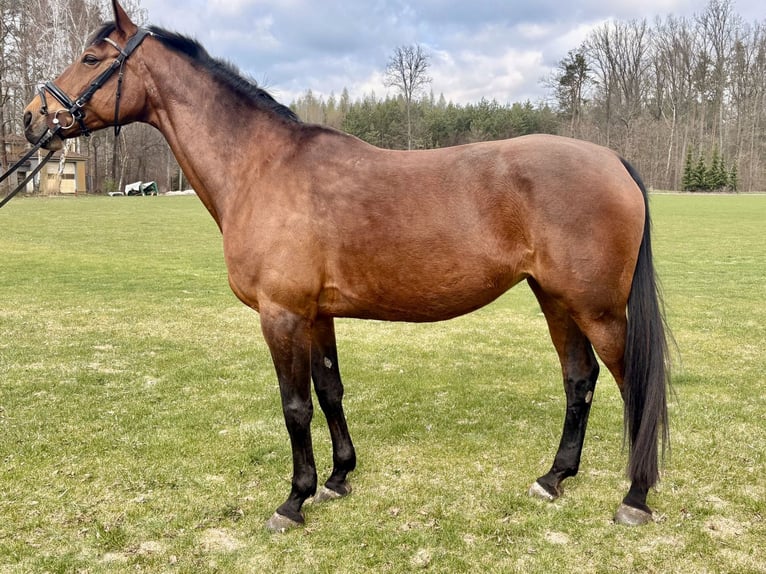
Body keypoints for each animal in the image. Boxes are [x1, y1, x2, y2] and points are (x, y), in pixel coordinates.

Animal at [23, 0, 670, 532]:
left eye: (90, 57)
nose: (33, 117)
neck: (261, 166)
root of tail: (612, 159)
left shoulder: (281, 315)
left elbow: (295, 406)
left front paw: (293, 500)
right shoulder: (317, 315)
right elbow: (330, 389)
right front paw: (337, 478)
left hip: (596, 308)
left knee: (629, 383)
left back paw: (634, 497)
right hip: (555, 299)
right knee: (579, 379)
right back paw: (554, 477)